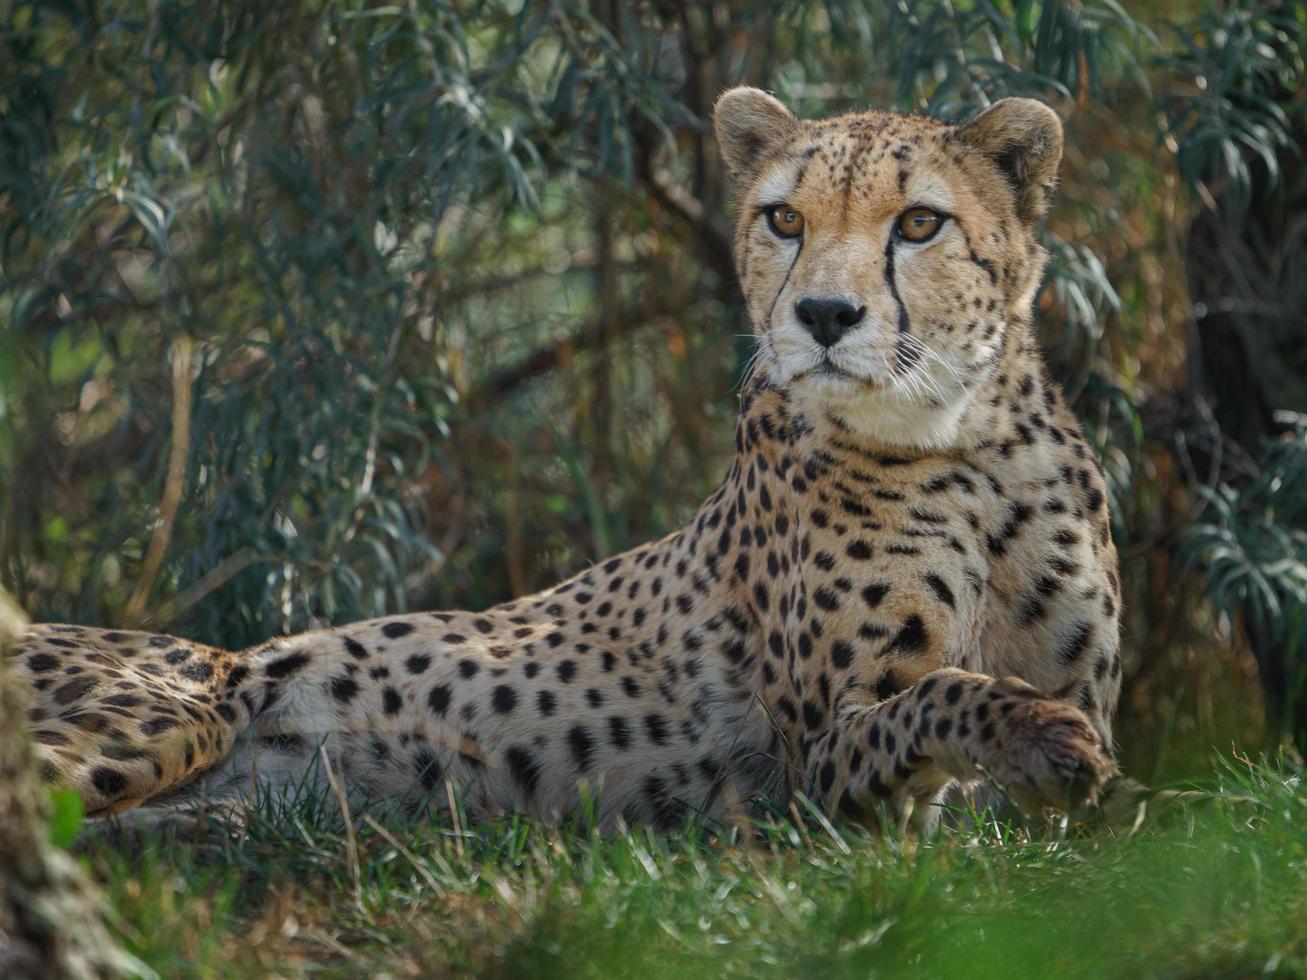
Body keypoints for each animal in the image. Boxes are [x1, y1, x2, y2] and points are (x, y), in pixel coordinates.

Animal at [10, 90, 1118, 831]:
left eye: (919, 222)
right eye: (784, 218)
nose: (822, 315)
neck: (965, 445)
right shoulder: (812, 769)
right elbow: (942, 696)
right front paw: (1032, 732)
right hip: (174, 707)